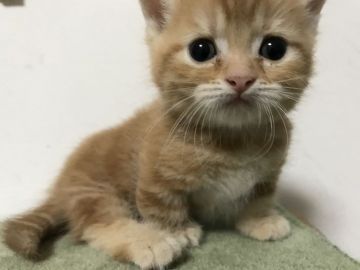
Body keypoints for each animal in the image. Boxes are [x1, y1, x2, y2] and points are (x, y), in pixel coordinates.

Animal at [2, 0, 324, 268]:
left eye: (274, 48)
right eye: (201, 50)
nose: (240, 78)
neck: (232, 141)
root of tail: (60, 188)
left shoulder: (269, 172)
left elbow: (260, 195)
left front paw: (259, 219)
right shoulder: (155, 177)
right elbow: (162, 207)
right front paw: (176, 231)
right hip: (92, 190)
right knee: (98, 225)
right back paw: (148, 242)